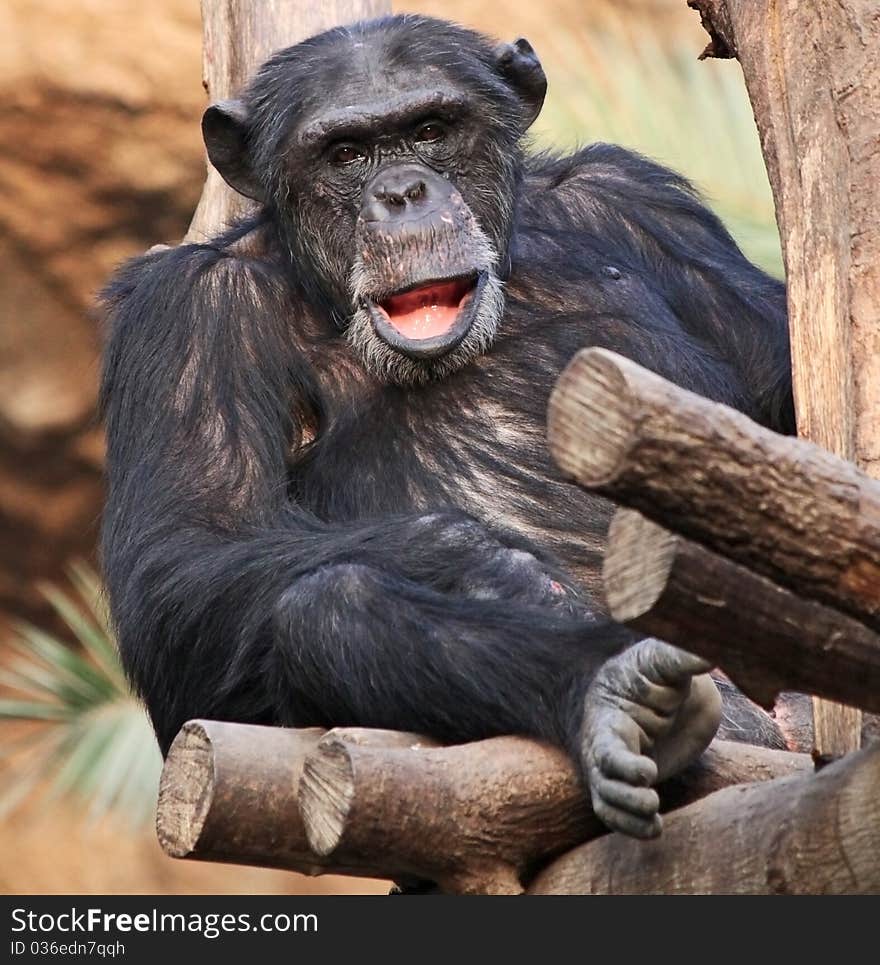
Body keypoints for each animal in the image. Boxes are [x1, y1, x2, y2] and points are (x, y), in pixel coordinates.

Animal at [99, 13, 796, 836]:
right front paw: (486, 566)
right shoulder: (188, 313)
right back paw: (614, 697)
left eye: (430, 129)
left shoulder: (645, 206)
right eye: (347, 153)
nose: (403, 191)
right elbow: (184, 555)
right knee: (326, 609)